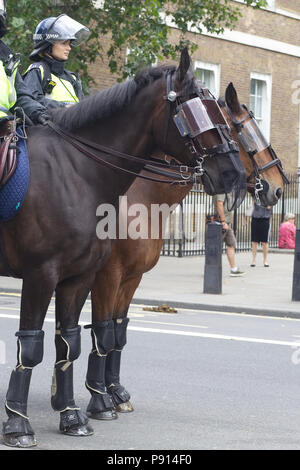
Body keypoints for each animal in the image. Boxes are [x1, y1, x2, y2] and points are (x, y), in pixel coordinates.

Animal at [88, 81, 286, 414]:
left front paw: (115, 392)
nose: (278, 187)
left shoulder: (130, 278)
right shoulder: (106, 276)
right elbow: (100, 332)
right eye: (242, 130)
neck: (139, 197)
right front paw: (99, 399)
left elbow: (116, 331)